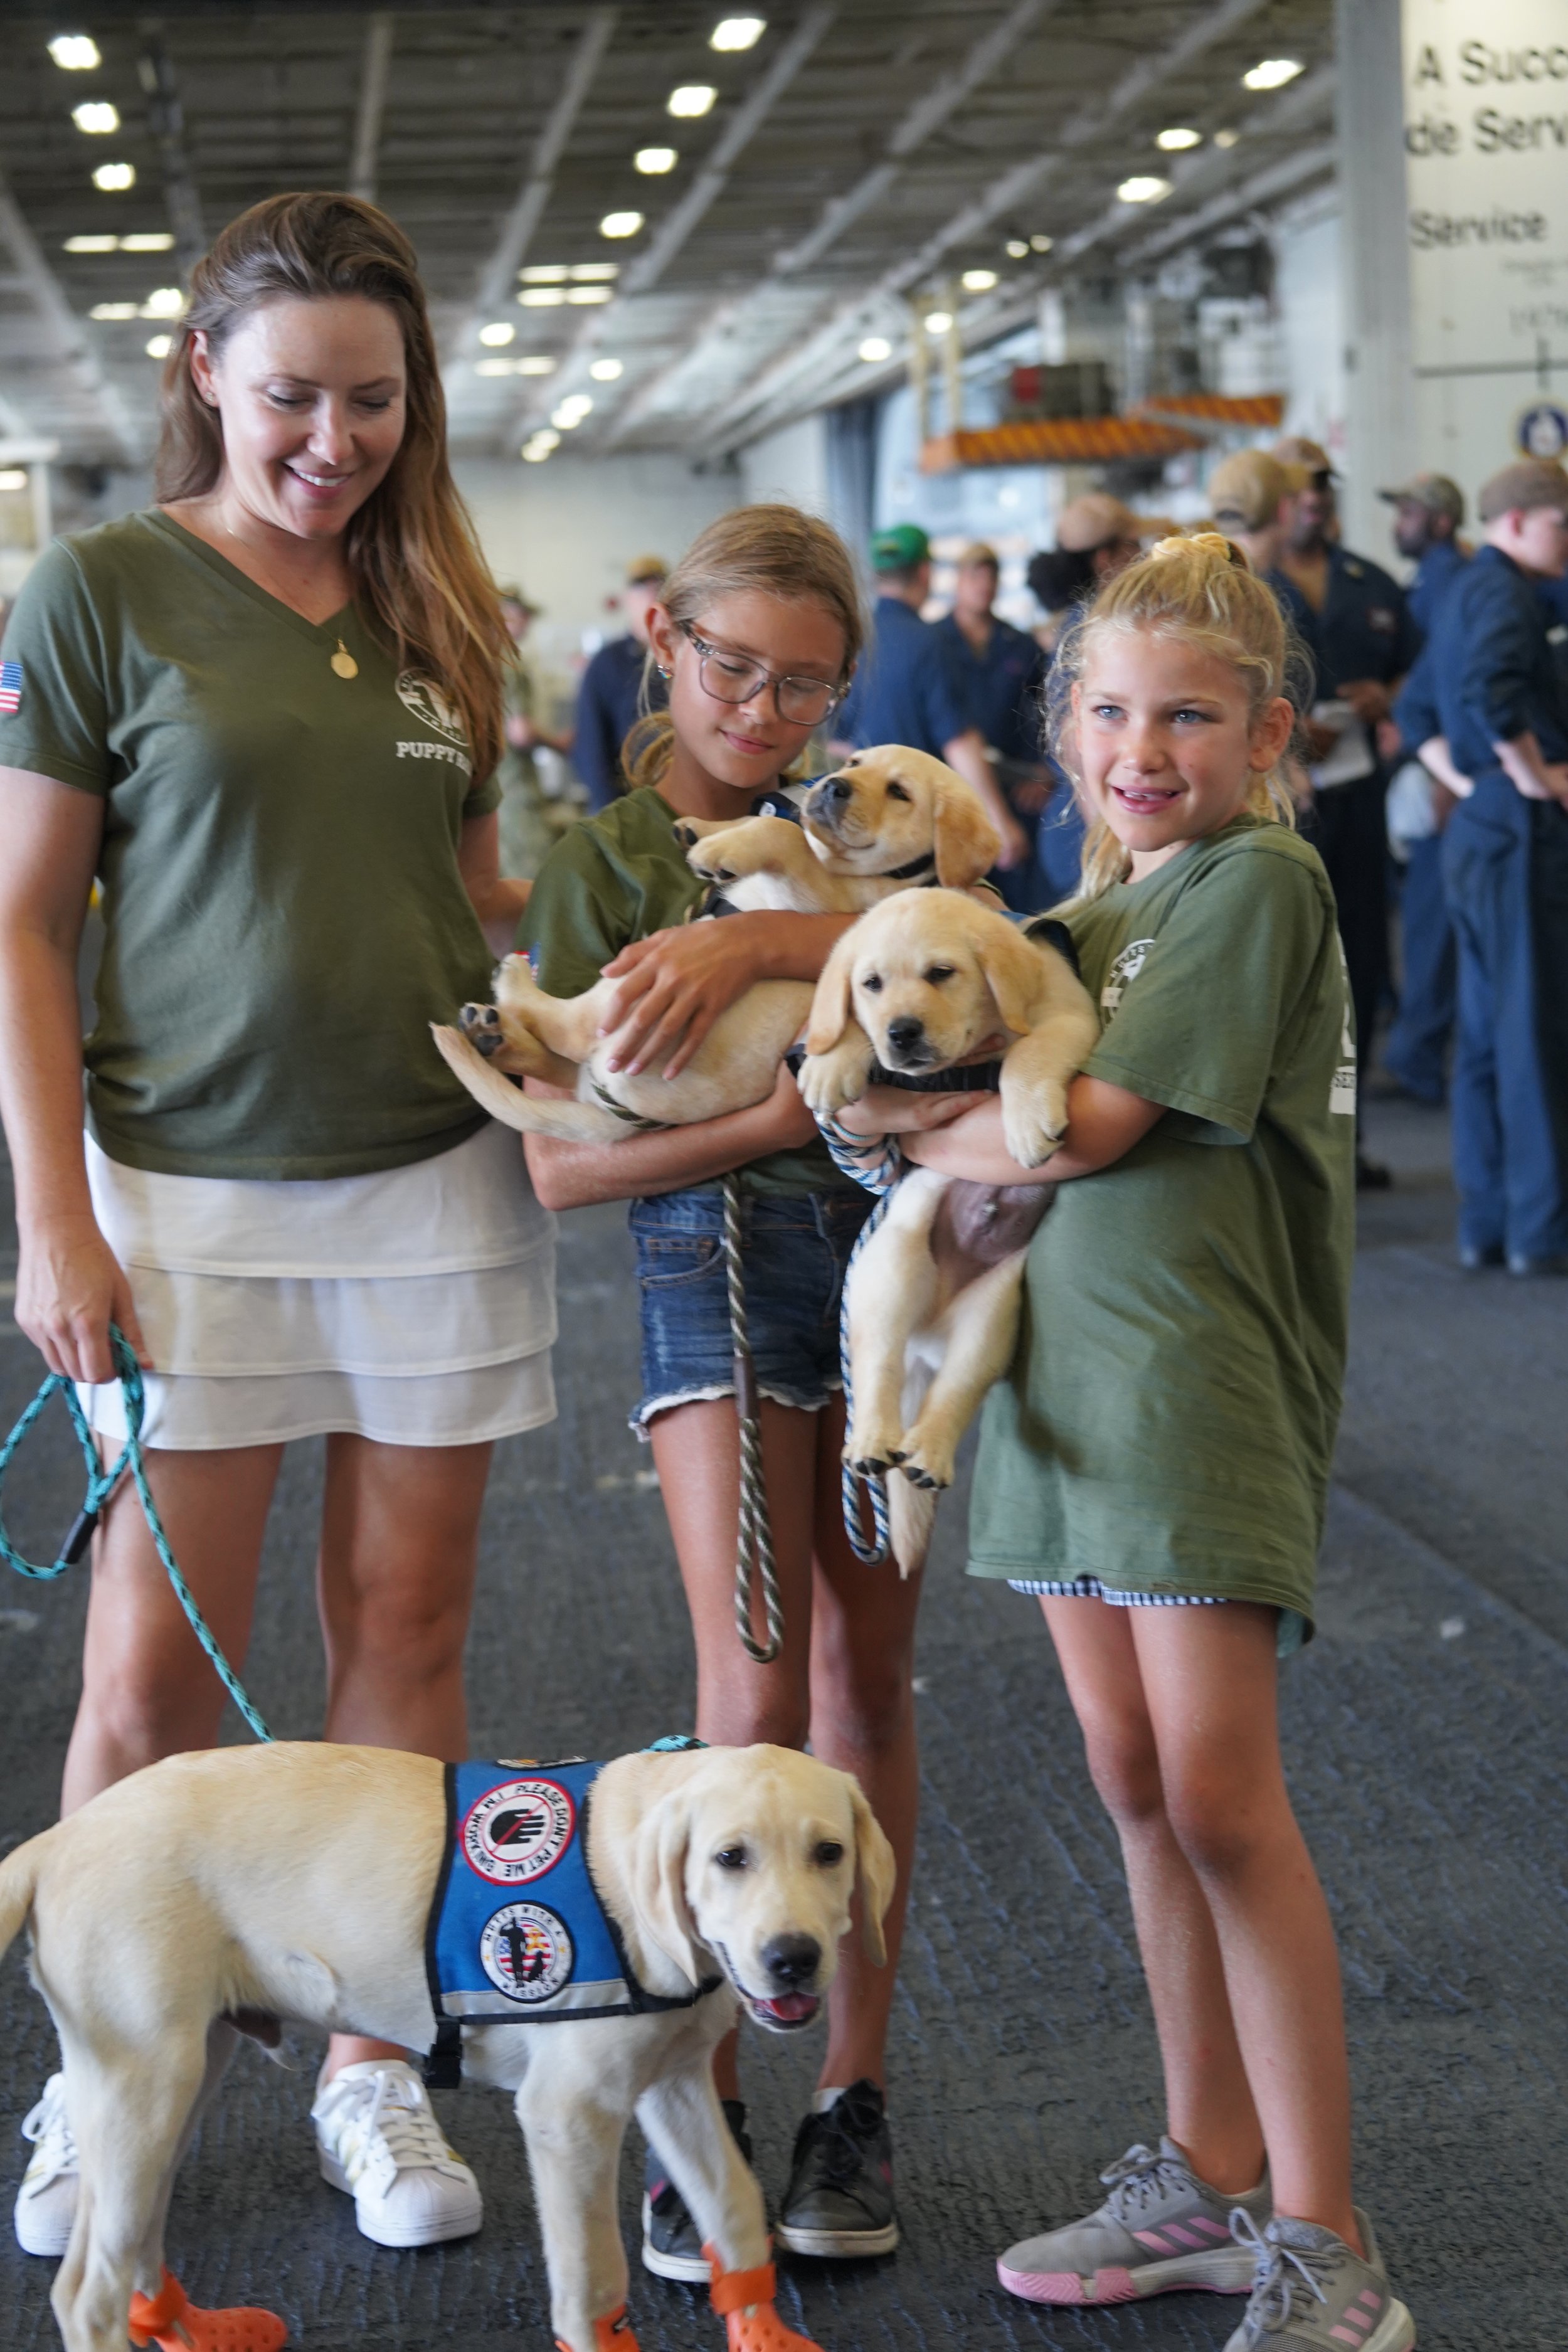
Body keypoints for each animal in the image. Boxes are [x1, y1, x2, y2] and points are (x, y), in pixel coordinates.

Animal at [0, 1740, 888, 2343]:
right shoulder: (567, 2118)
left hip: (184, 2076)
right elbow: (593, 2288)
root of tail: (55, 1840)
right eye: (729, 1858)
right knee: (87, 2291)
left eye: (829, 1853)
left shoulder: (672, 2087)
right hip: (143, 2081)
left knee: (137, 2246)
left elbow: (732, 2209)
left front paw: (765, 2331)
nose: (792, 1958)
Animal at [425, 743, 992, 1148]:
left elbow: (785, 834)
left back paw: (513, 984)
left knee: (572, 1030)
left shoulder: (824, 898)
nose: (833, 786)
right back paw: (495, 1038)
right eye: (854, 763)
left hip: (628, 1002)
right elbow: (774, 820)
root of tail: (617, 1115)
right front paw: (706, 830)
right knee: (562, 1060)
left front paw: (721, 849)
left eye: (900, 793)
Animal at [803, 889, 1100, 1571]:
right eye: (871, 985)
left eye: (942, 973)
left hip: (992, 1318)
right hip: (890, 1269)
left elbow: (1025, 1056)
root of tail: (928, 1330)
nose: (902, 1031)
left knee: (954, 1391)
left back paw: (928, 1455)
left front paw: (1025, 1123)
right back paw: (873, 1441)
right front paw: (829, 1061)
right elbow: (847, 1025)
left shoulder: (1068, 1016)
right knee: (878, 1371)